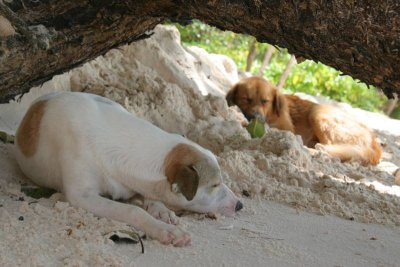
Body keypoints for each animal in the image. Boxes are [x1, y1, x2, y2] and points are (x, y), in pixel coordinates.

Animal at [14, 92, 241, 247]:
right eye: (215, 184)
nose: (240, 205)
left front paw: (161, 210)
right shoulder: (82, 197)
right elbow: (133, 210)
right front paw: (164, 230)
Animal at [227, 76, 382, 166]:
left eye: (265, 101)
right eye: (247, 99)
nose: (256, 118)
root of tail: (373, 140)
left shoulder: (286, 128)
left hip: (318, 113)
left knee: (329, 149)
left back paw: (310, 151)